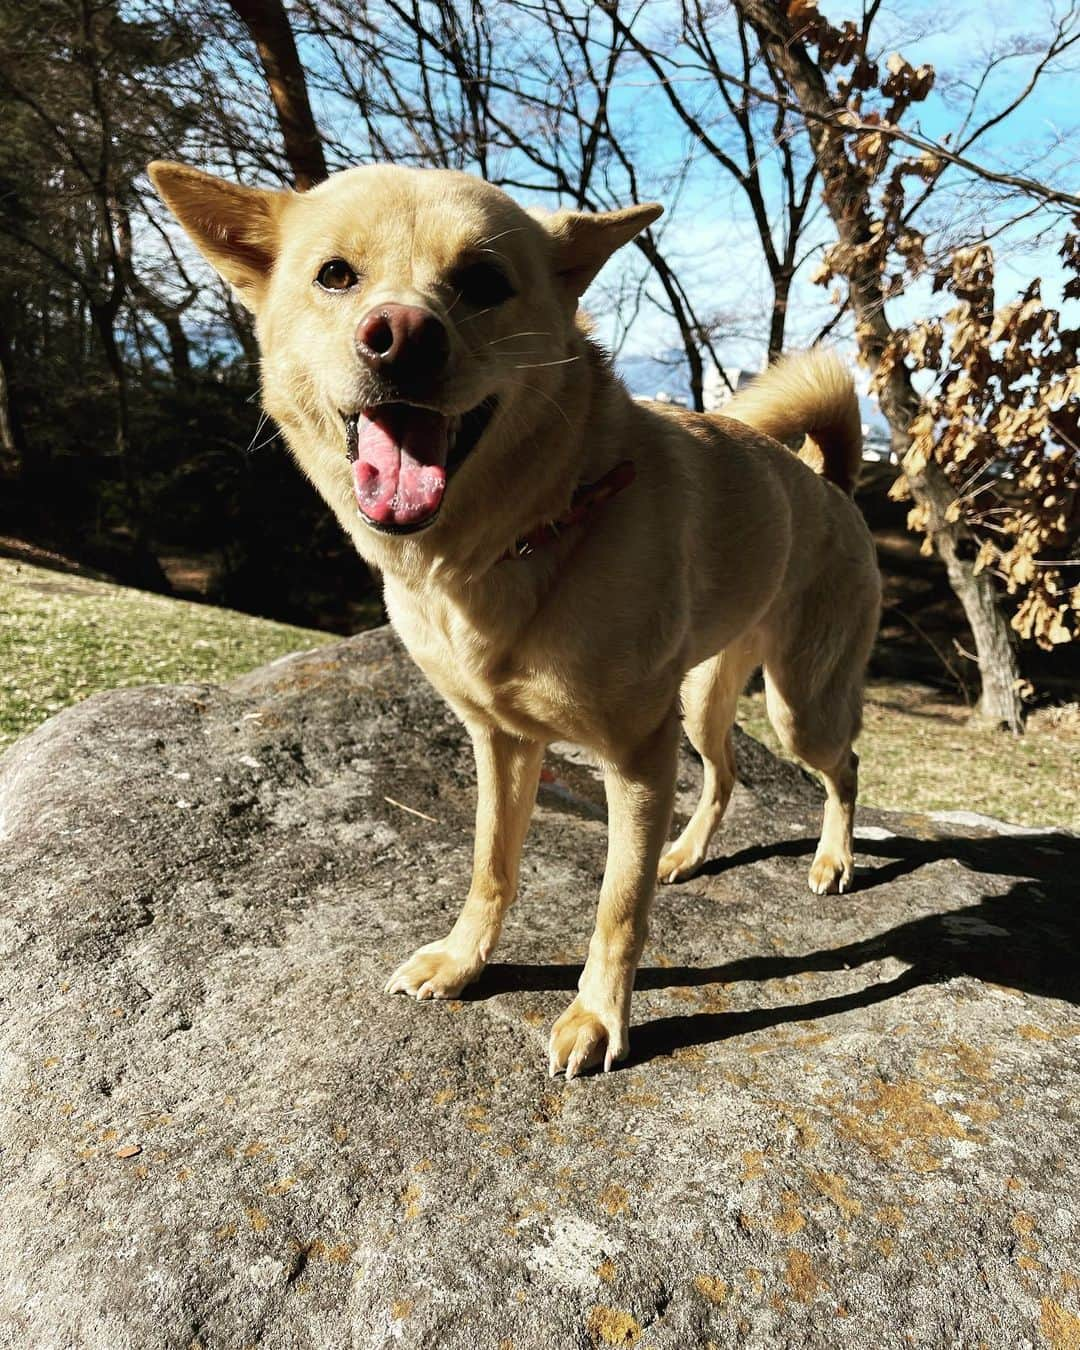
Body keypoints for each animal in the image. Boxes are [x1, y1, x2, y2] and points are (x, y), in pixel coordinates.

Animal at [149, 163, 874, 1080]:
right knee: (727, 771)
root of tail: (832, 482)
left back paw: (833, 857)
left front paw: (598, 1017)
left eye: (484, 282)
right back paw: (687, 853)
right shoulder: (499, 742)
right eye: (336, 275)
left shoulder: (637, 758)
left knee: (843, 766)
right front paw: (466, 961)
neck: (523, 533)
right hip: (705, 698)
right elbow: (492, 865)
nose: (399, 335)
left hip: (796, 702)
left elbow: (616, 907)